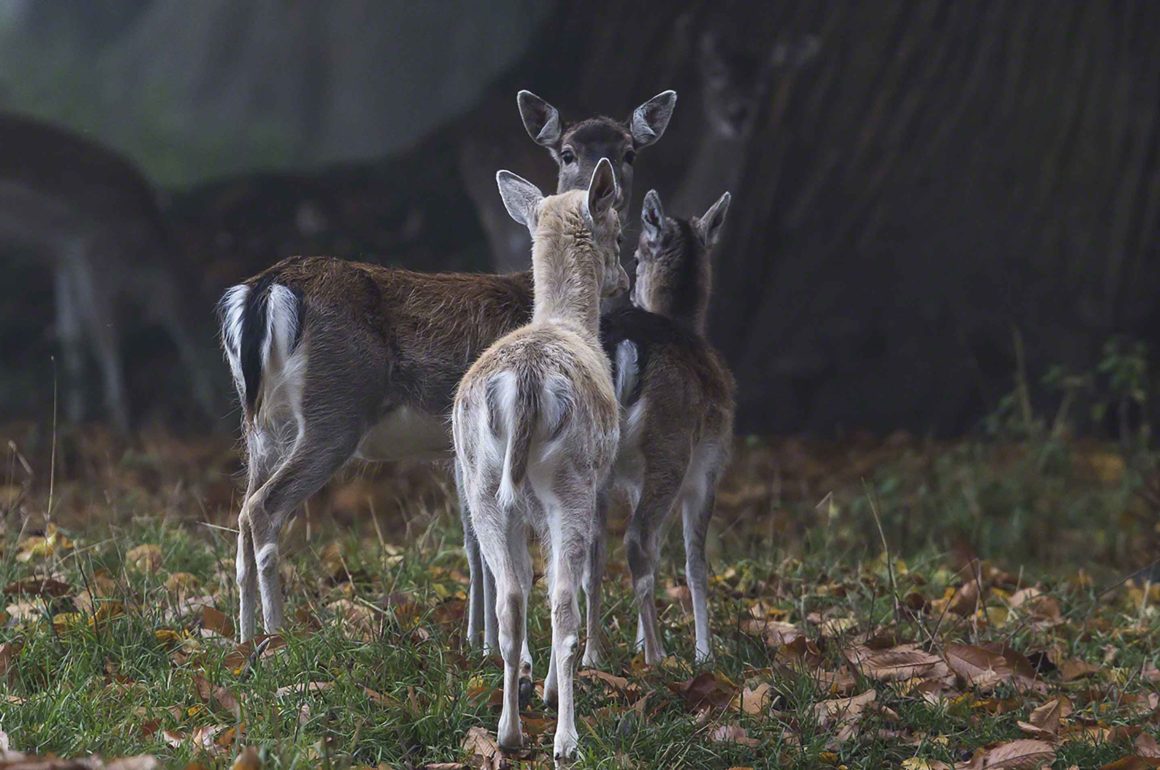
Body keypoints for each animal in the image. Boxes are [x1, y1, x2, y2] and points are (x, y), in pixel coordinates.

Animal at [0, 111, 218, 429]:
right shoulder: (97, 254)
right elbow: (105, 334)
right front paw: (120, 423)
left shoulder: (66, 257)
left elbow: (71, 335)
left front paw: (74, 421)